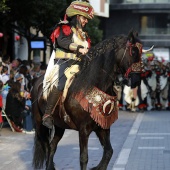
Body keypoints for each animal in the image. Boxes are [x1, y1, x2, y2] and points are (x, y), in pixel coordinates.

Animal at [31, 30, 143, 170]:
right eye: (133, 52)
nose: (136, 80)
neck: (92, 83)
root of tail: (37, 81)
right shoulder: (83, 129)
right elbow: (84, 158)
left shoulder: (103, 126)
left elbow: (109, 151)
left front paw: (98, 167)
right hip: (39, 123)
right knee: (46, 145)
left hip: (60, 124)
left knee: (52, 146)